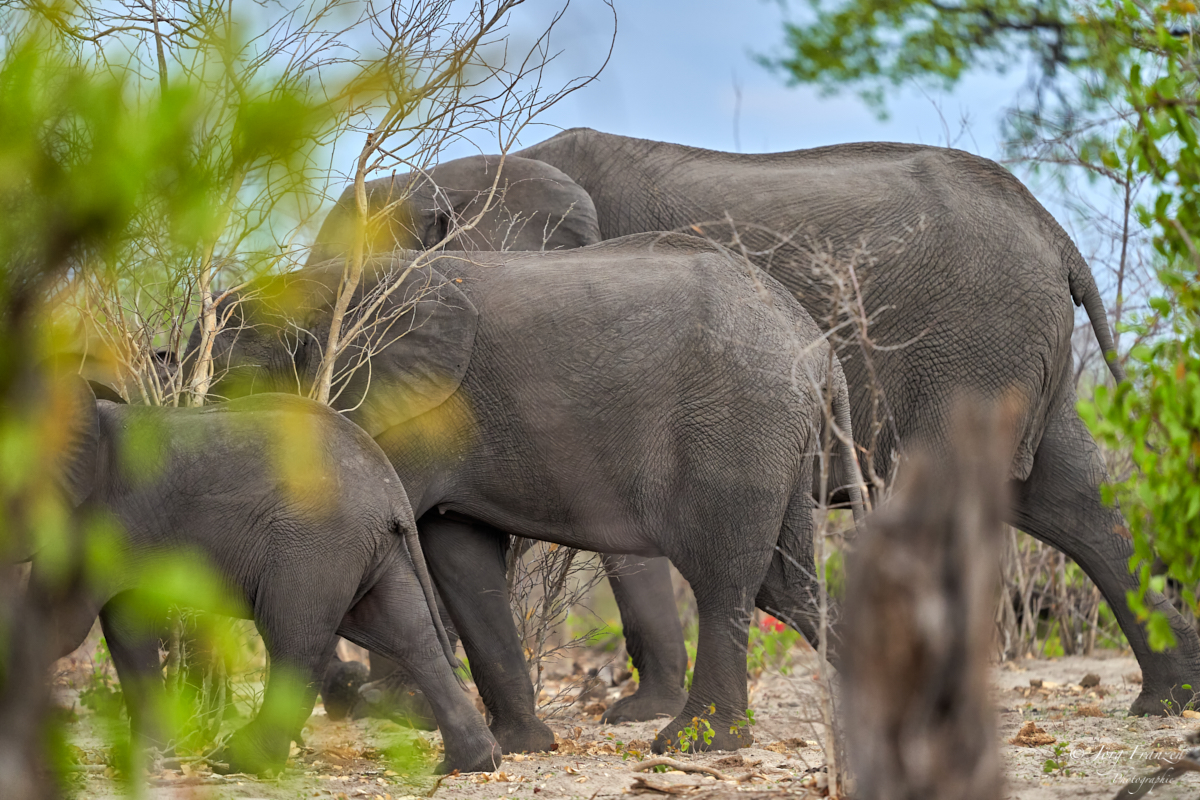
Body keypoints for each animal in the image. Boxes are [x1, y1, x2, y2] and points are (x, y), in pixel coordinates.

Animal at [44, 381, 499, 777]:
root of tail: (393, 490)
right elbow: (124, 621)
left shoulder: (102, 518)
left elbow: (68, 625)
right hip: (369, 549)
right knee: (409, 636)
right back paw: (471, 763)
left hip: (317, 545)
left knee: (291, 636)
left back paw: (239, 762)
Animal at [187, 235, 864, 753]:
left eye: (229, 376)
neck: (320, 287)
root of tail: (818, 345)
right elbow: (459, 560)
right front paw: (520, 748)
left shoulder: (399, 415)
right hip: (780, 440)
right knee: (788, 585)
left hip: (738, 427)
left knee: (724, 577)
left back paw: (694, 743)